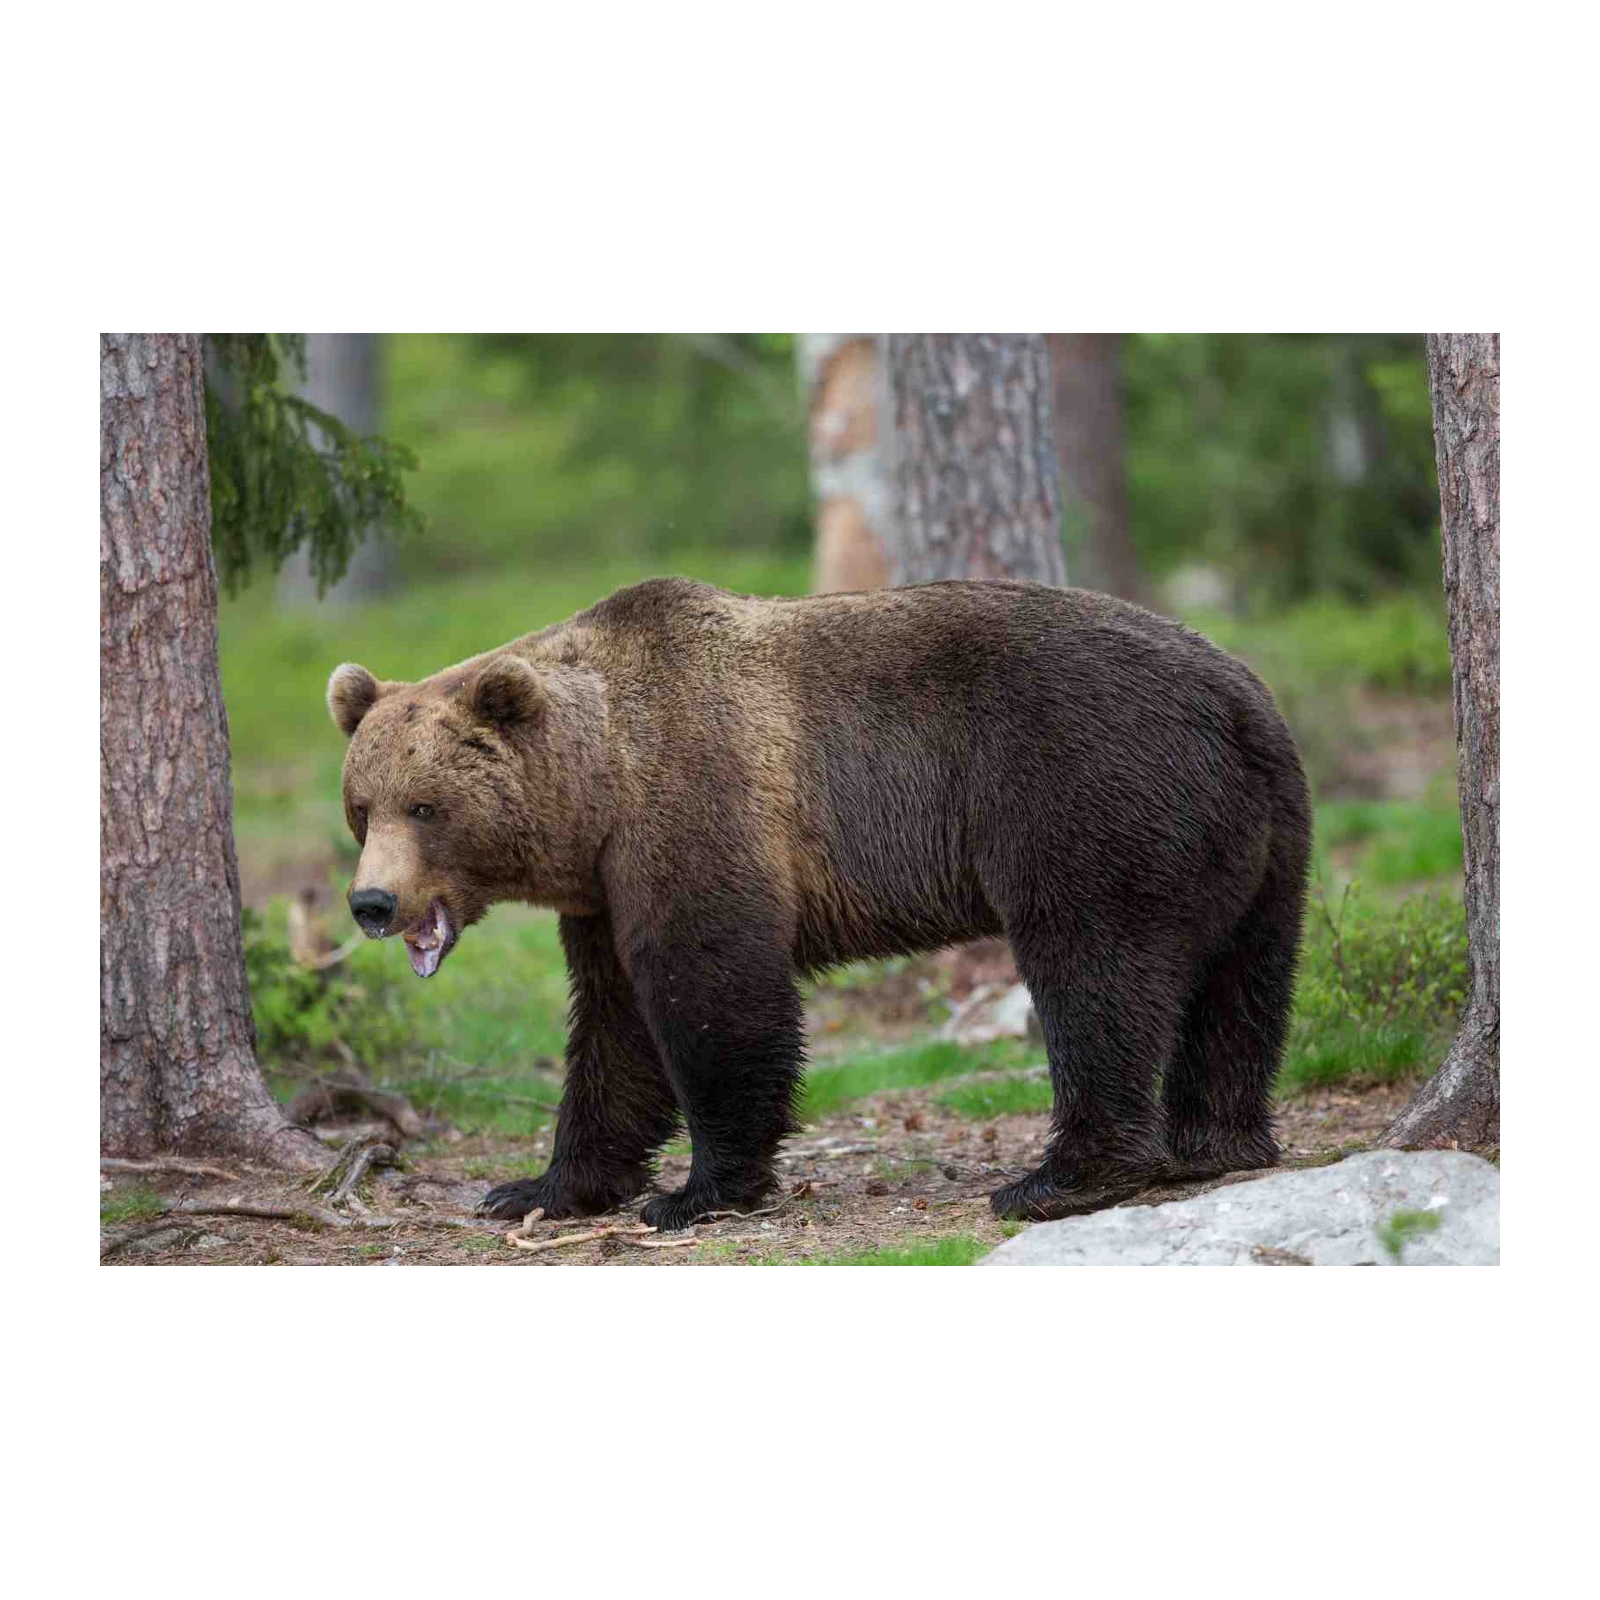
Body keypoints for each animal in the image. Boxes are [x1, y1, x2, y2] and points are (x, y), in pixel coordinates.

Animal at [326, 576, 1311, 1231]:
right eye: (362, 806)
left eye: (427, 806)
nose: (372, 902)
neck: (600, 786)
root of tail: (1241, 698)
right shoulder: (605, 890)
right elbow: (613, 1025)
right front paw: (537, 1188)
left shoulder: (698, 806)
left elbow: (713, 993)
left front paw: (695, 1191)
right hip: (1260, 837)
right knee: (1242, 982)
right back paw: (1216, 1141)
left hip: (1089, 790)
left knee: (1094, 970)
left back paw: (1063, 1176)